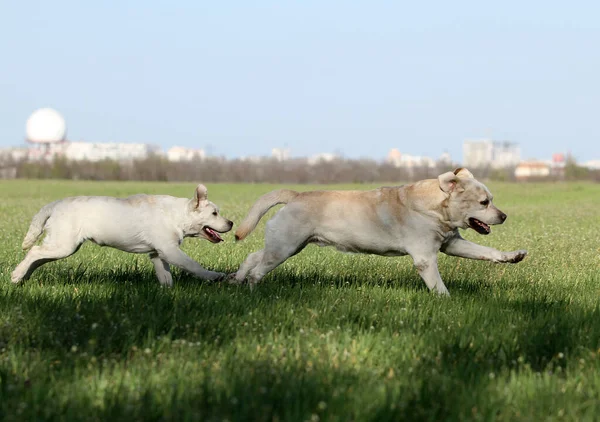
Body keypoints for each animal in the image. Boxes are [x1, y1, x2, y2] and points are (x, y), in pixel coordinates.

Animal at [12, 185, 232, 286]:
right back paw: (16, 275)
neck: (177, 215)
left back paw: (23, 277)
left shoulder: (158, 254)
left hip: (61, 245)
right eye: (214, 213)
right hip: (63, 245)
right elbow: (193, 266)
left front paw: (168, 291)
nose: (230, 223)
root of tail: (56, 204)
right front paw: (213, 276)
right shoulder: (170, 250)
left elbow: (165, 276)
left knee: (37, 257)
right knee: (34, 251)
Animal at [232, 167, 528, 294]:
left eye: (491, 199)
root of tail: (295, 195)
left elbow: (486, 251)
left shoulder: (451, 243)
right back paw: (252, 290)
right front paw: (447, 300)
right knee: (258, 269)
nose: (503, 216)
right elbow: (438, 286)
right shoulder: (425, 258)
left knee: (252, 257)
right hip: (285, 247)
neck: (434, 208)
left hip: (286, 245)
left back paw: (236, 280)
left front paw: (511, 256)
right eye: (484, 202)